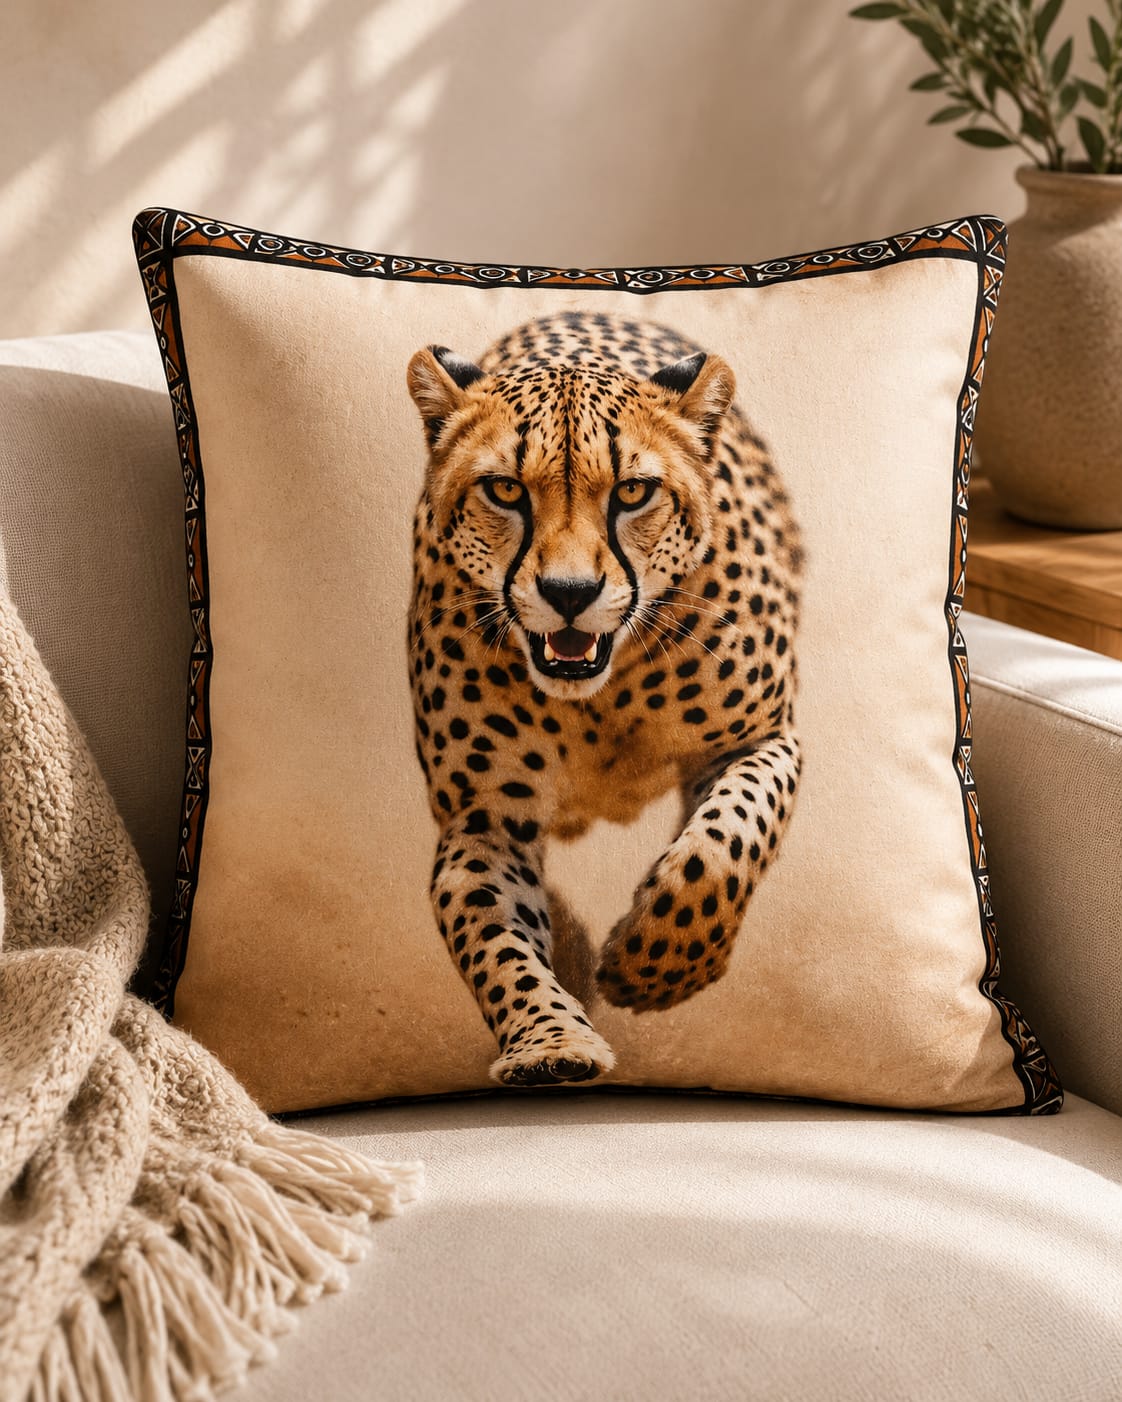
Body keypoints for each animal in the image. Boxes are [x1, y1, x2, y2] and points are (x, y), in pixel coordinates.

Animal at [405, 309, 802, 1089]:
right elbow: (493, 939)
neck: (602, 695)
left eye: (632, 493)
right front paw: (551, 1042)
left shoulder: (764, 737)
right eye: (505, 491)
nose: (569, 594)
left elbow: (725, 844)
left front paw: (656, 968)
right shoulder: (483, 819)